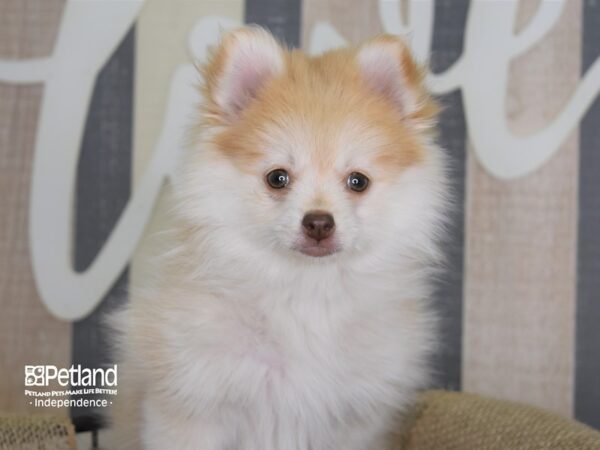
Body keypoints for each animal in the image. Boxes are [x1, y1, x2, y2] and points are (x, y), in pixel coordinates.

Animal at [110, 27, 448, 450]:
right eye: (277, 177)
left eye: (358, 181)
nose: (318, 221)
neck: (306, 294)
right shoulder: (192, 406)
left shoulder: (353, 421)